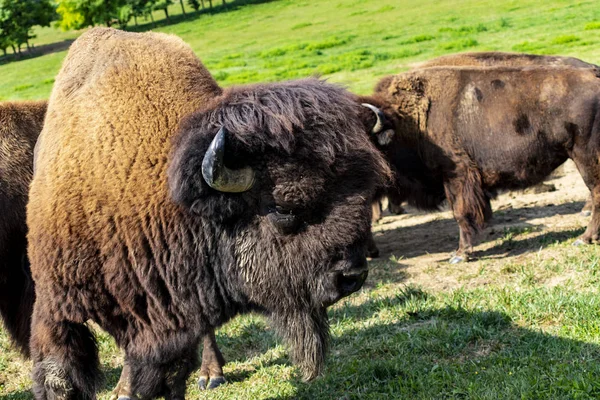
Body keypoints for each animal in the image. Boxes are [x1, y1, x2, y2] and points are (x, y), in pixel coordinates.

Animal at [28, 28, 392, 400]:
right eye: (283, 207)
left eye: (363, 196)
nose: (352, 276)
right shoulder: (56, 307)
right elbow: (60, 377)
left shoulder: (174, 322)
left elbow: (168, 374)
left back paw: (211, 374)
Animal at [364, 65, 600, 264]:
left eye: (367, 140)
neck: (410, 121)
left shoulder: (456, 177)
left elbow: (460, 214)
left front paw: (460, 255)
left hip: (584, 156)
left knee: (596, 193)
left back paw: (584, 238)